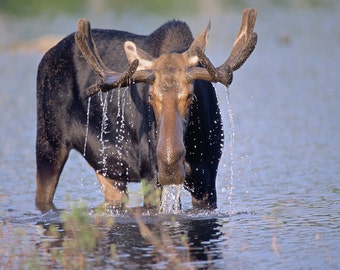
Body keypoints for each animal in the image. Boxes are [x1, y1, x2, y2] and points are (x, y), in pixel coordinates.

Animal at [35, 7, 258, 211]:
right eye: (150, 96)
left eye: (191, 96)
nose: (169, 165)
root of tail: (46, 56)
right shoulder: (151, 176)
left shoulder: (207, 178)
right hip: (48, 143)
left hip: (108, 170)